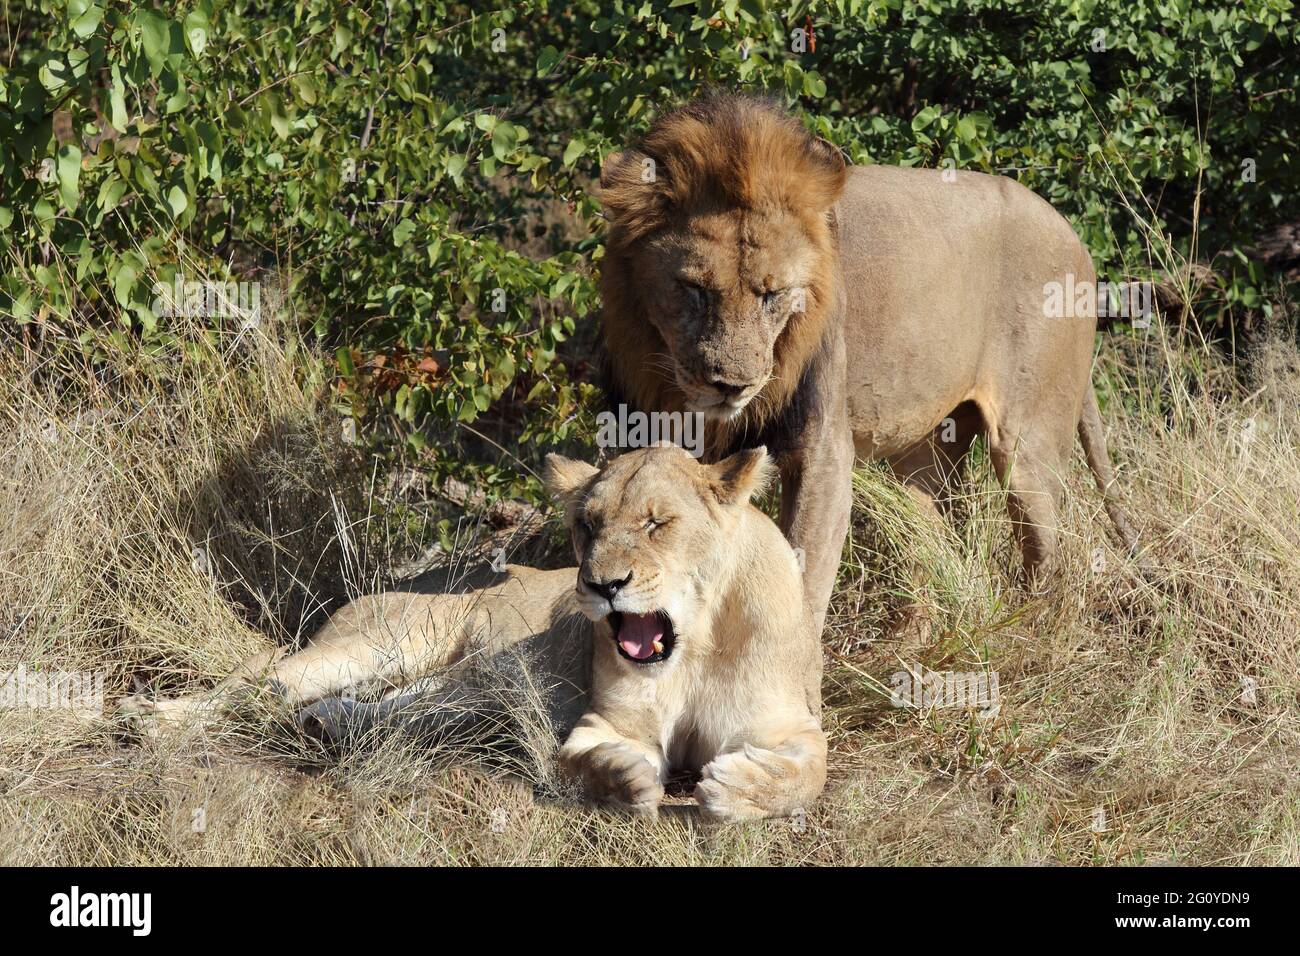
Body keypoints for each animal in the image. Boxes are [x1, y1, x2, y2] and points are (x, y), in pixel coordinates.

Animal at [124, 444, 832, 816]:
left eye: (658, 523)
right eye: (588, 526)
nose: (603, 585)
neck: (695, 646)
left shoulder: (790, 726)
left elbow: (809, 773)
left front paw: (736, 788)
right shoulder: (603, 722)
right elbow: (591, 758)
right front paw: (627, 781)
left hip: (458, 697)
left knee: (371, 708)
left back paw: (328, 727)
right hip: (381, 646)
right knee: (267, 678)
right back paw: (149, 719)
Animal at [598, 93, 1138, 632]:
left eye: (772, 295)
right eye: (694, 289)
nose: (732, 386)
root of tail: (1075, 237)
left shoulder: (822, 450)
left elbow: (803, 571)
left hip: (1028, 448)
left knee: (1050, 556)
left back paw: (1029, 629)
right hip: (927, 448)